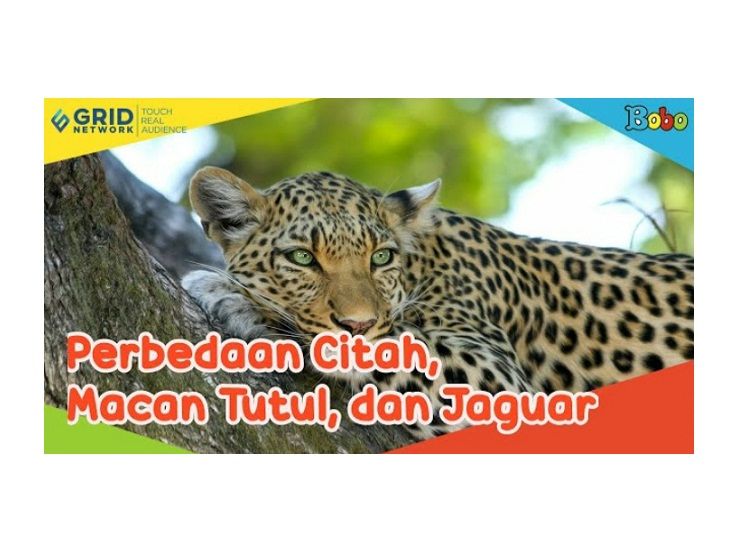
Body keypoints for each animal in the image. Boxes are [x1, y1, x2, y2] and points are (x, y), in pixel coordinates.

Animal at [182, 167, 694, 437]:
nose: (358, 324)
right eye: (302, 258)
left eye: (381, 257)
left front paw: (233, 296)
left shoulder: (501, 383)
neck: (423, 264)